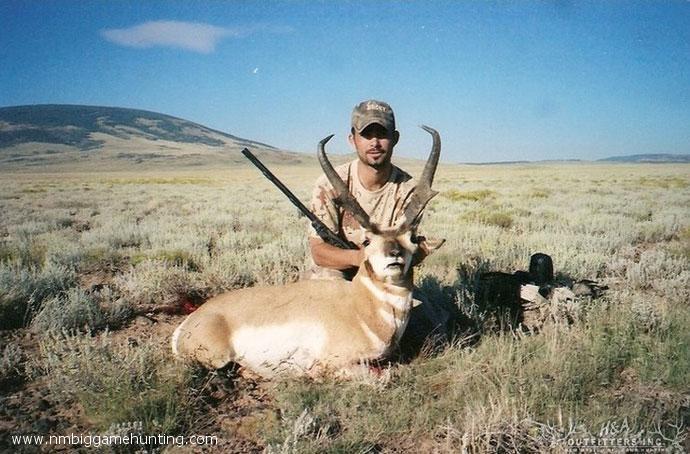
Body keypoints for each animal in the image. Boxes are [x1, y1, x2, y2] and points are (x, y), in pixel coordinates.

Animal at [170, 126, 444, 378]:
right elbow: (383, 376)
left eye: (411, 238)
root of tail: (192, 320)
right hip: (217, 358)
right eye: (367, 241)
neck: (359, 307)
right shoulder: (337, 364)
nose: (394, 255)